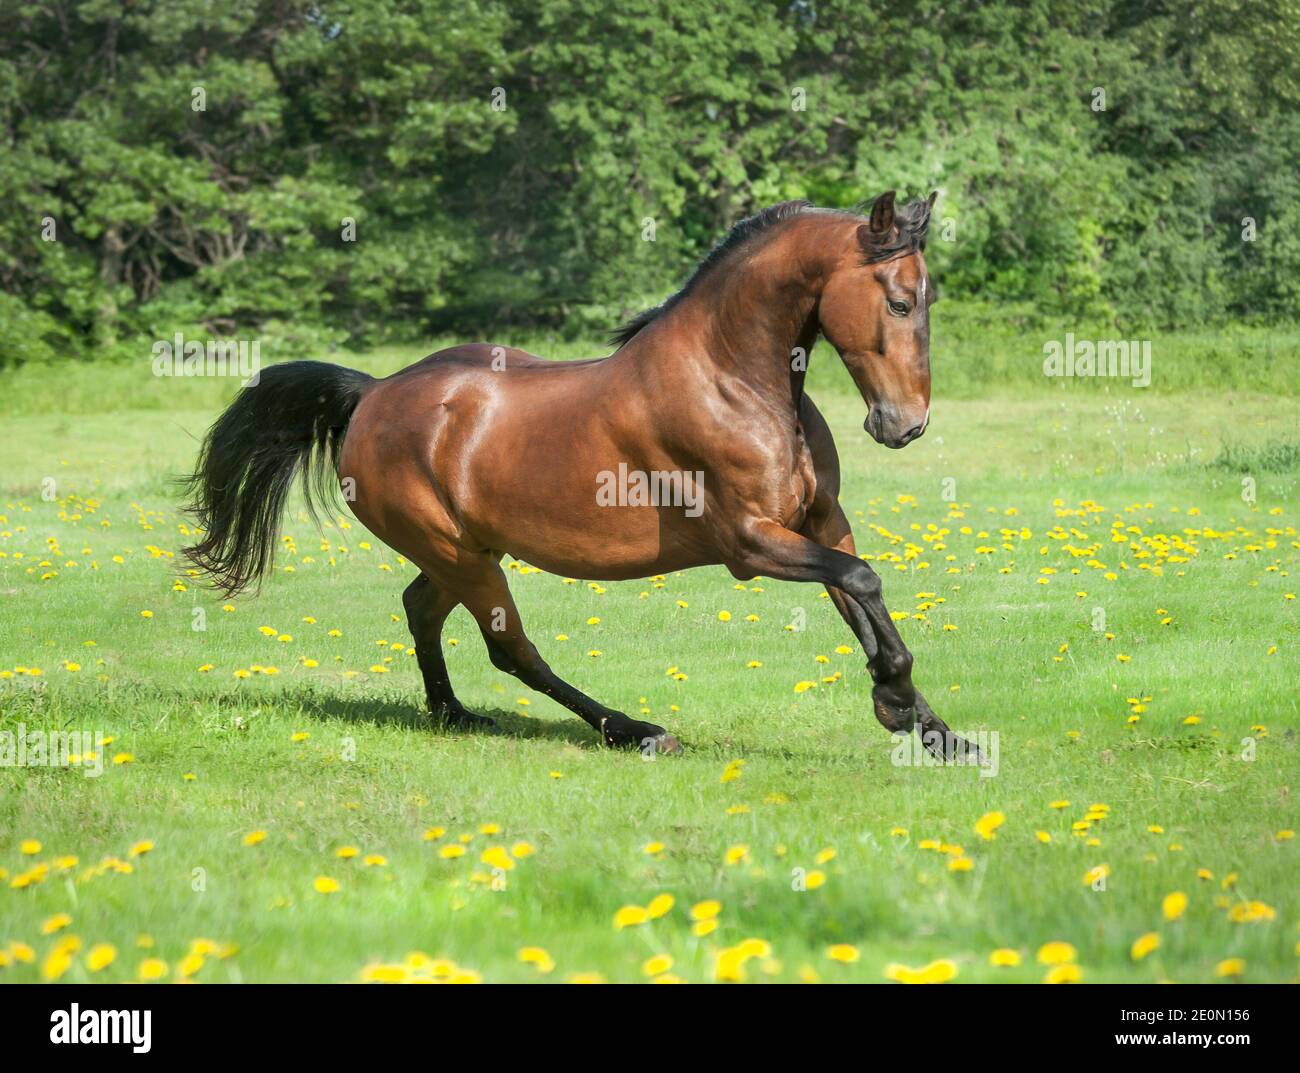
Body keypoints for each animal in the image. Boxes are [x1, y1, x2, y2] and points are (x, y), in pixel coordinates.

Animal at [184, 190, 980, 761]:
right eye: (898, 301)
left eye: (928, 301)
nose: (905, 425)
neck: (733, 380)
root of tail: (372, 393)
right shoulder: (749, 543)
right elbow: (863, 581)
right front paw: (895, 702)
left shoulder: (821, 521)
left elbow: (859, 592)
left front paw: (935, 730)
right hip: (460, 555)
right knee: (512, 650)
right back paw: (636, 731)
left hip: (466, 551)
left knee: (421, 609)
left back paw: (453, 714)